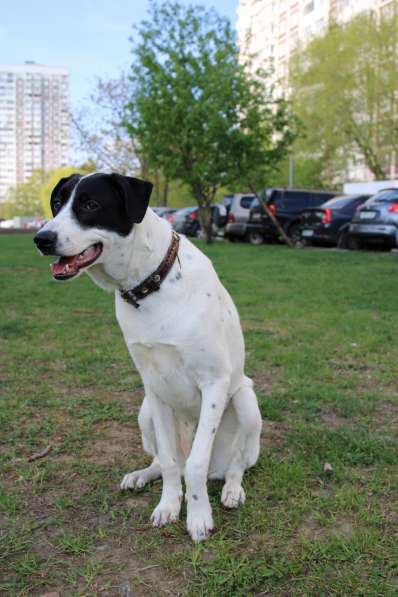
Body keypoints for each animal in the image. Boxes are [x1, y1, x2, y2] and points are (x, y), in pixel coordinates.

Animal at [34, 171, 262, 540]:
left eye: (90, 204)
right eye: (57, 203)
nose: (41, 239)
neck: (152, 285)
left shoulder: (214, 382)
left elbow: (196, 463)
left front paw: (198, 516)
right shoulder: (154, 386)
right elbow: (168, 462)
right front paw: (169, 505)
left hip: (245, 400)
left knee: (235, 462)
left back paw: (231, 489)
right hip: (144, 412)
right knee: (167, 462)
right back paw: (142, 475)